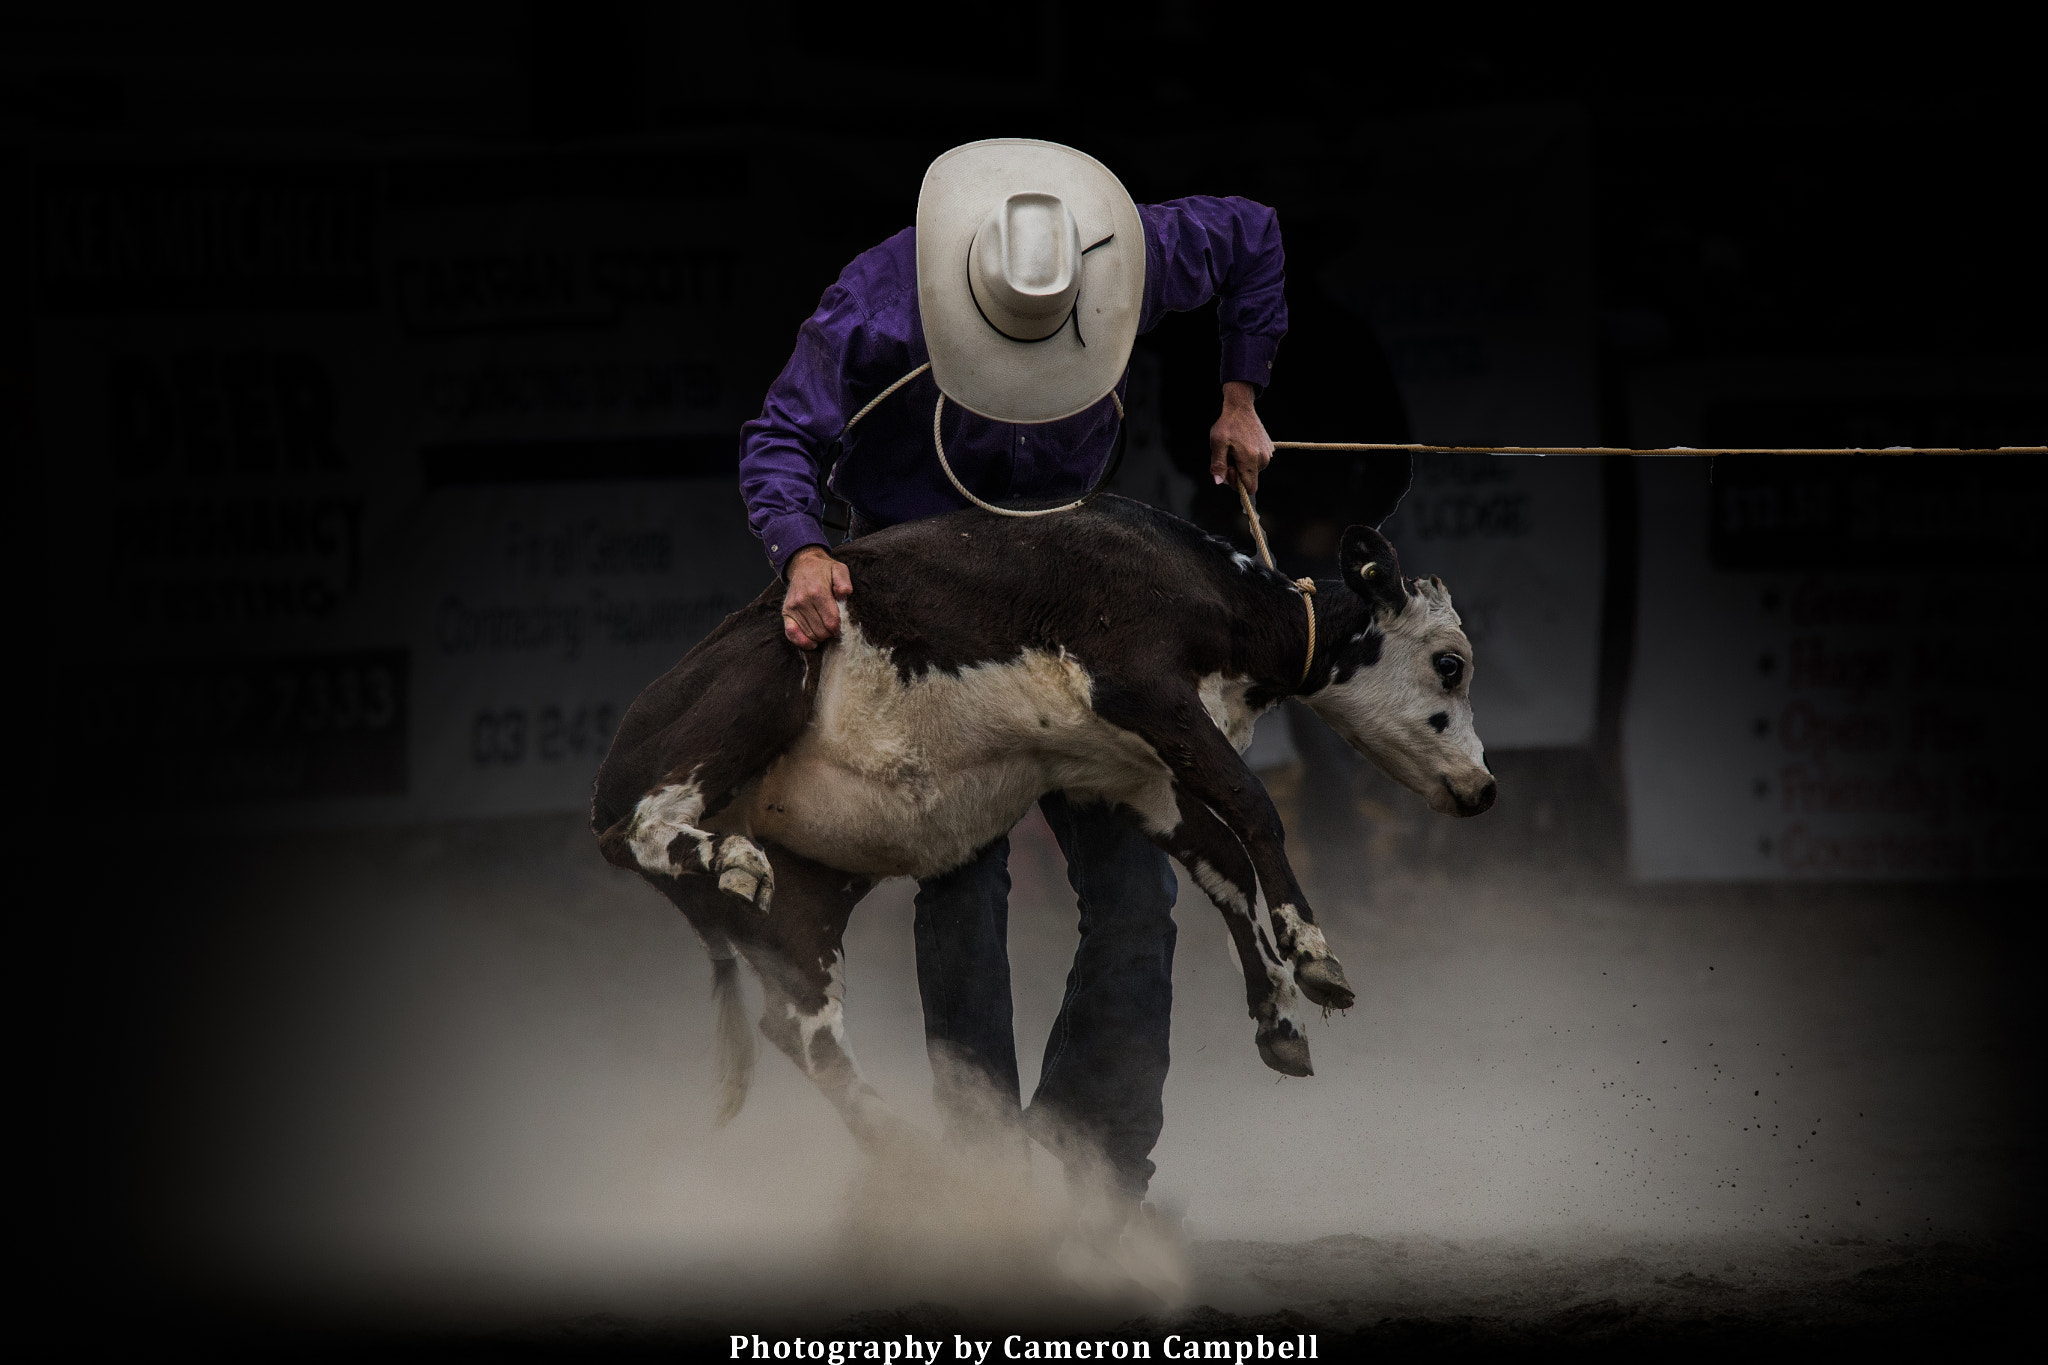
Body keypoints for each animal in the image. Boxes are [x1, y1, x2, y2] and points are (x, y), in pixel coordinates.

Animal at [589, 497, 1490, 1146]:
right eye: (1449, 663)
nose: (1483, 789)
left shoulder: (1133, 774)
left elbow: (1222, 861)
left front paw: (1277, 1013)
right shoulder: (1144, 688)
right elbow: (1255, 812)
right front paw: (1316, 957)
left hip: (811, 896)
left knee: (802, 1027)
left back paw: (910, 1152)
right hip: (764, 683)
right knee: (642, 825)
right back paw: (731, 857)